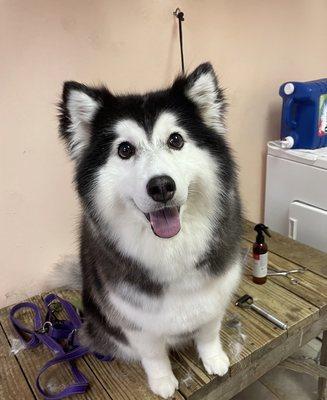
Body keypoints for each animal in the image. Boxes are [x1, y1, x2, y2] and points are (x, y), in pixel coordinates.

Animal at [59, 61, 243, 396]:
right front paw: (162, 381)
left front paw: (214, 359)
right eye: (124, 149)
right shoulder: (134, 319)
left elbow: (209, 330)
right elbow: (154, 353)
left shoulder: (216, 293)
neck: (171, 248)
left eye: (176, 140)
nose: (161, 186)